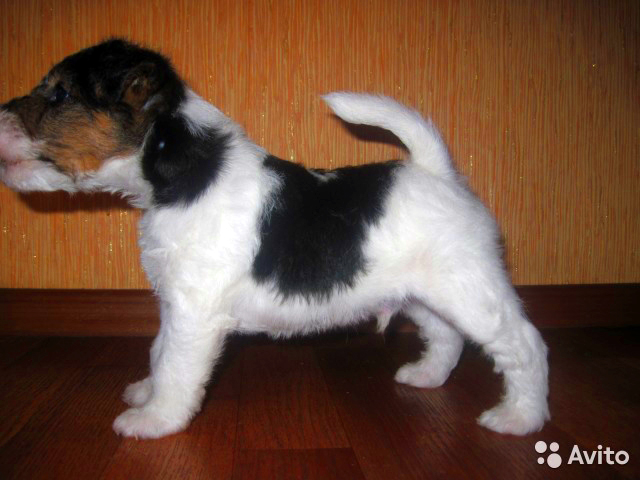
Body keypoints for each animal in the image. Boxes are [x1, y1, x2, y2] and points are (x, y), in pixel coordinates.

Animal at [0, 39, 549, 439]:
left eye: (59, 94)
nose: (1, 114)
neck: (185, 172)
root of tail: (437, 171)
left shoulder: (194, 312)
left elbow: (176, 366)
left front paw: (154, 420)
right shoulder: (174, 302)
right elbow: (158, 351)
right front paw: (146, 392)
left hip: (471, 291)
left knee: (524, 345)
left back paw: (520, 418)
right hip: (424, 292)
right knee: (447, 336)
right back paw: (427, 376)